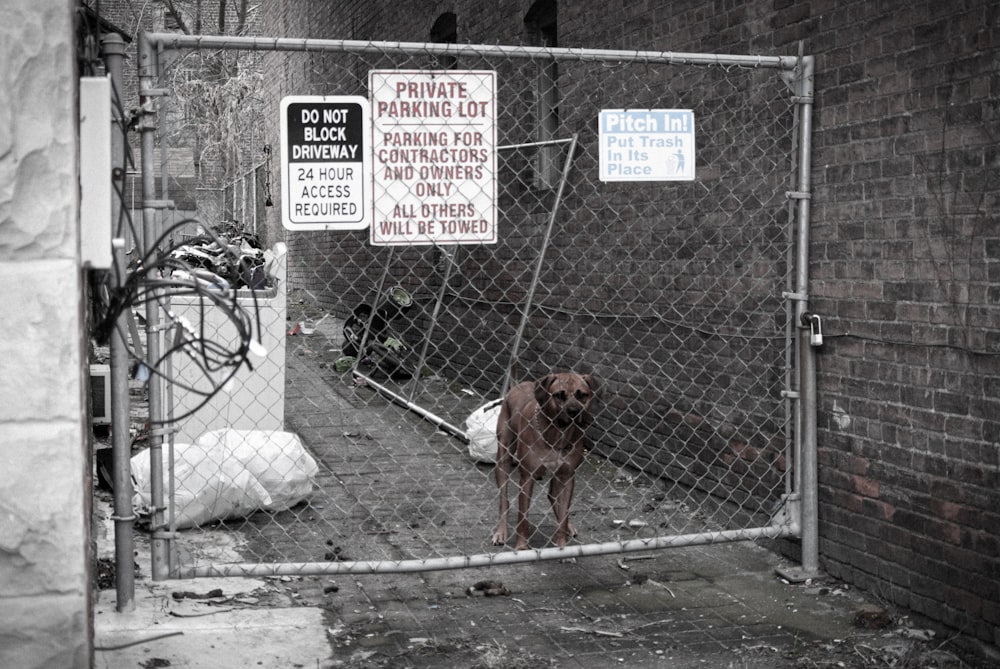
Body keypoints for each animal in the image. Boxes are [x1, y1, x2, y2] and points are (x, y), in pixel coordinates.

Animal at [490, 370, 596, 548]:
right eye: (559, 395)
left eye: (582, 395)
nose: (574, 411)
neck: (557, 436)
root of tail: (517, 384)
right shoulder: (527, 477)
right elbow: (523, 516)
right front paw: (521, 547)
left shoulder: (567, 476)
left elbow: (564, 512)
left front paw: (562, 545)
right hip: (503, 457)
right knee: (504, 500)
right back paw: (501, 532)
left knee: (553, 496)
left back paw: (568, 526)